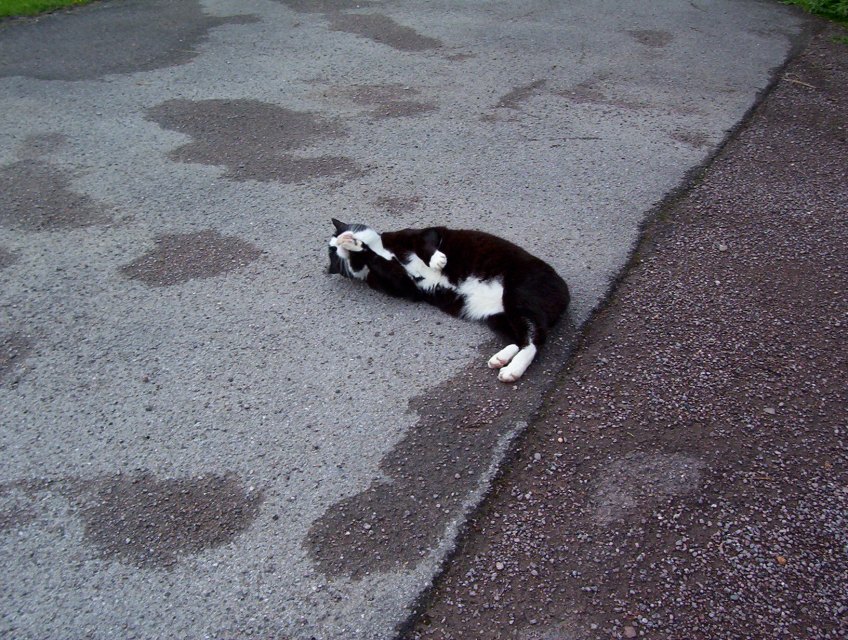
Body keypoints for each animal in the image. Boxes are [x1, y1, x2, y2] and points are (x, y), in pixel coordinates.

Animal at [328, 218, 570, 382]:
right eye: (338, 260)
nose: (340, 244)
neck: (384, 250)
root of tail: (564, 292)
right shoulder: (403, 285)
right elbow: (378, 263)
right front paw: (355, 249)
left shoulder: (416, 233)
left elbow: (425, 241)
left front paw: (436, 261)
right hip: (499, 316)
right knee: (522, 339)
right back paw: (503, 361)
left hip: (519, 295)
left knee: (535, 338)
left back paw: (512, 369)